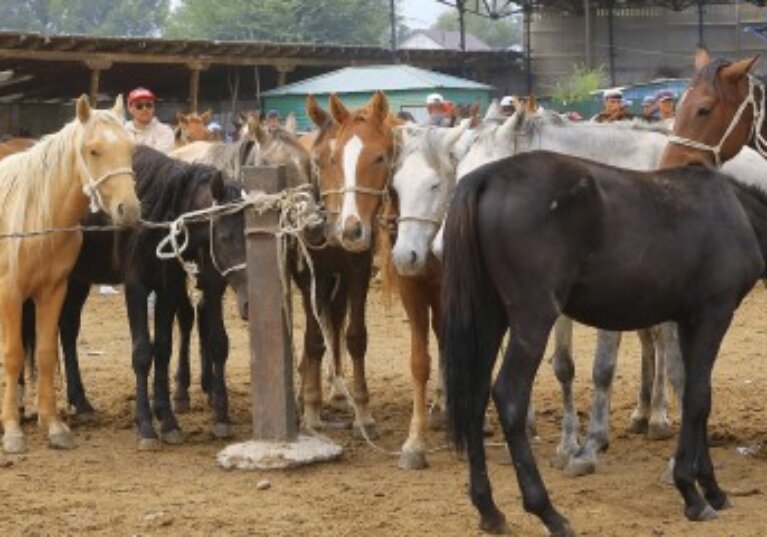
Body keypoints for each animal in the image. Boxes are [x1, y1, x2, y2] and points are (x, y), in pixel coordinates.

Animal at [0, 95, 141, 452]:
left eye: (131, 149)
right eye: (93, 150)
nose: (129, 210)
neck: (37, 217)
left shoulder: (54, 291)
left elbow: (47, 353)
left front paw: (54, 425)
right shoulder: (10, 294)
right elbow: (13, 355)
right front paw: (12, 430)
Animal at [24, 146, 249, 448]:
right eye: (224, 237)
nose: (249, 302)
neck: (161, 219)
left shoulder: (169, 288)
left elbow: (163, 349)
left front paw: (168, 420)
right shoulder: (136, 288)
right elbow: (142, 353)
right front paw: (145, 425)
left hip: (77, 280)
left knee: (68, 330)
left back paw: (81, 402)